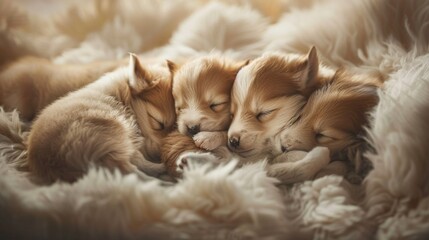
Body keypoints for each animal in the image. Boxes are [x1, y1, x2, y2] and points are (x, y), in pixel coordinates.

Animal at [25, 54, 176, 184]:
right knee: (130, 171)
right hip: (113, 132)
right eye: (158, 123)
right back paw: (162, 179)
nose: (160, 153)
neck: (121, 99)